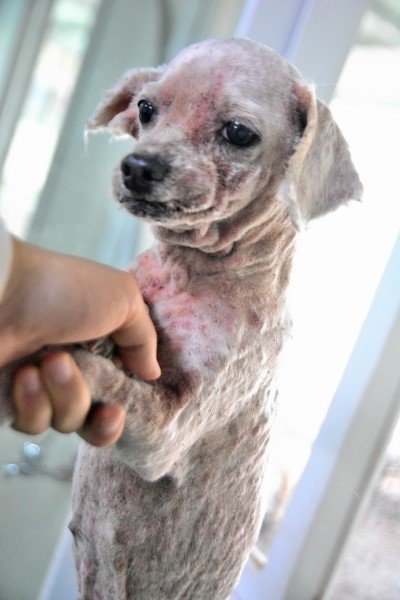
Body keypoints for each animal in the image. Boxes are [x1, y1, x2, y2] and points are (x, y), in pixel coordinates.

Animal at [0, 38, 362, 599]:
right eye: (146, 108)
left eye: (239, 133)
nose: (137, 166)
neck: (186, 270)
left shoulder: (164, 433)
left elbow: (115, 384)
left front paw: (67, 362)